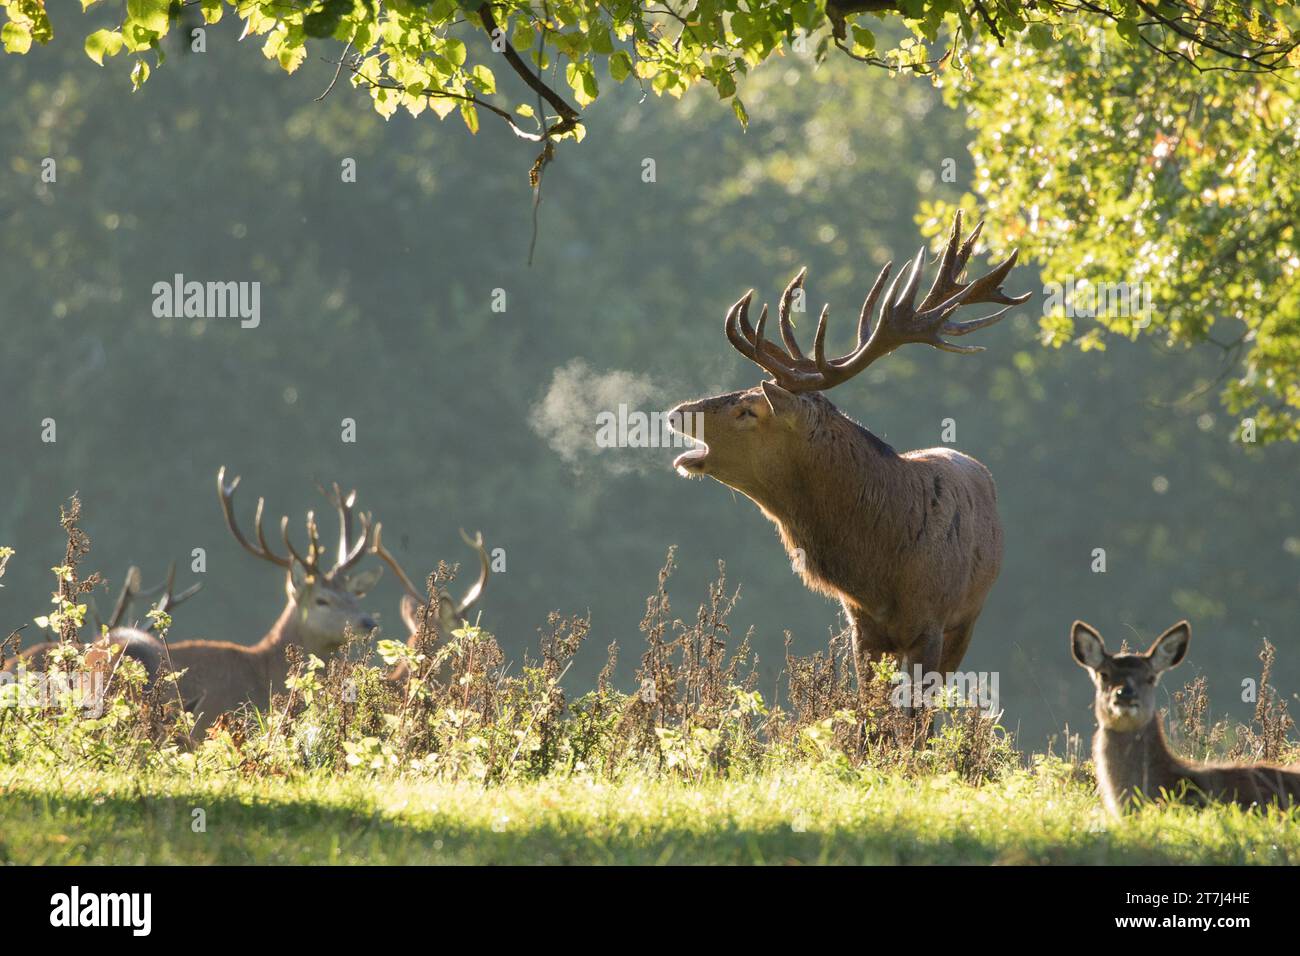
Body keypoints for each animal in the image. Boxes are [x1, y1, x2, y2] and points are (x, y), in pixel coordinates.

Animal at [668, 212, 1028, 693]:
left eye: (748, 410)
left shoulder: (932, 622)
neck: (883, 566)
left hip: (968, 618)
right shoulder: (861, 625)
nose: (676, 413)